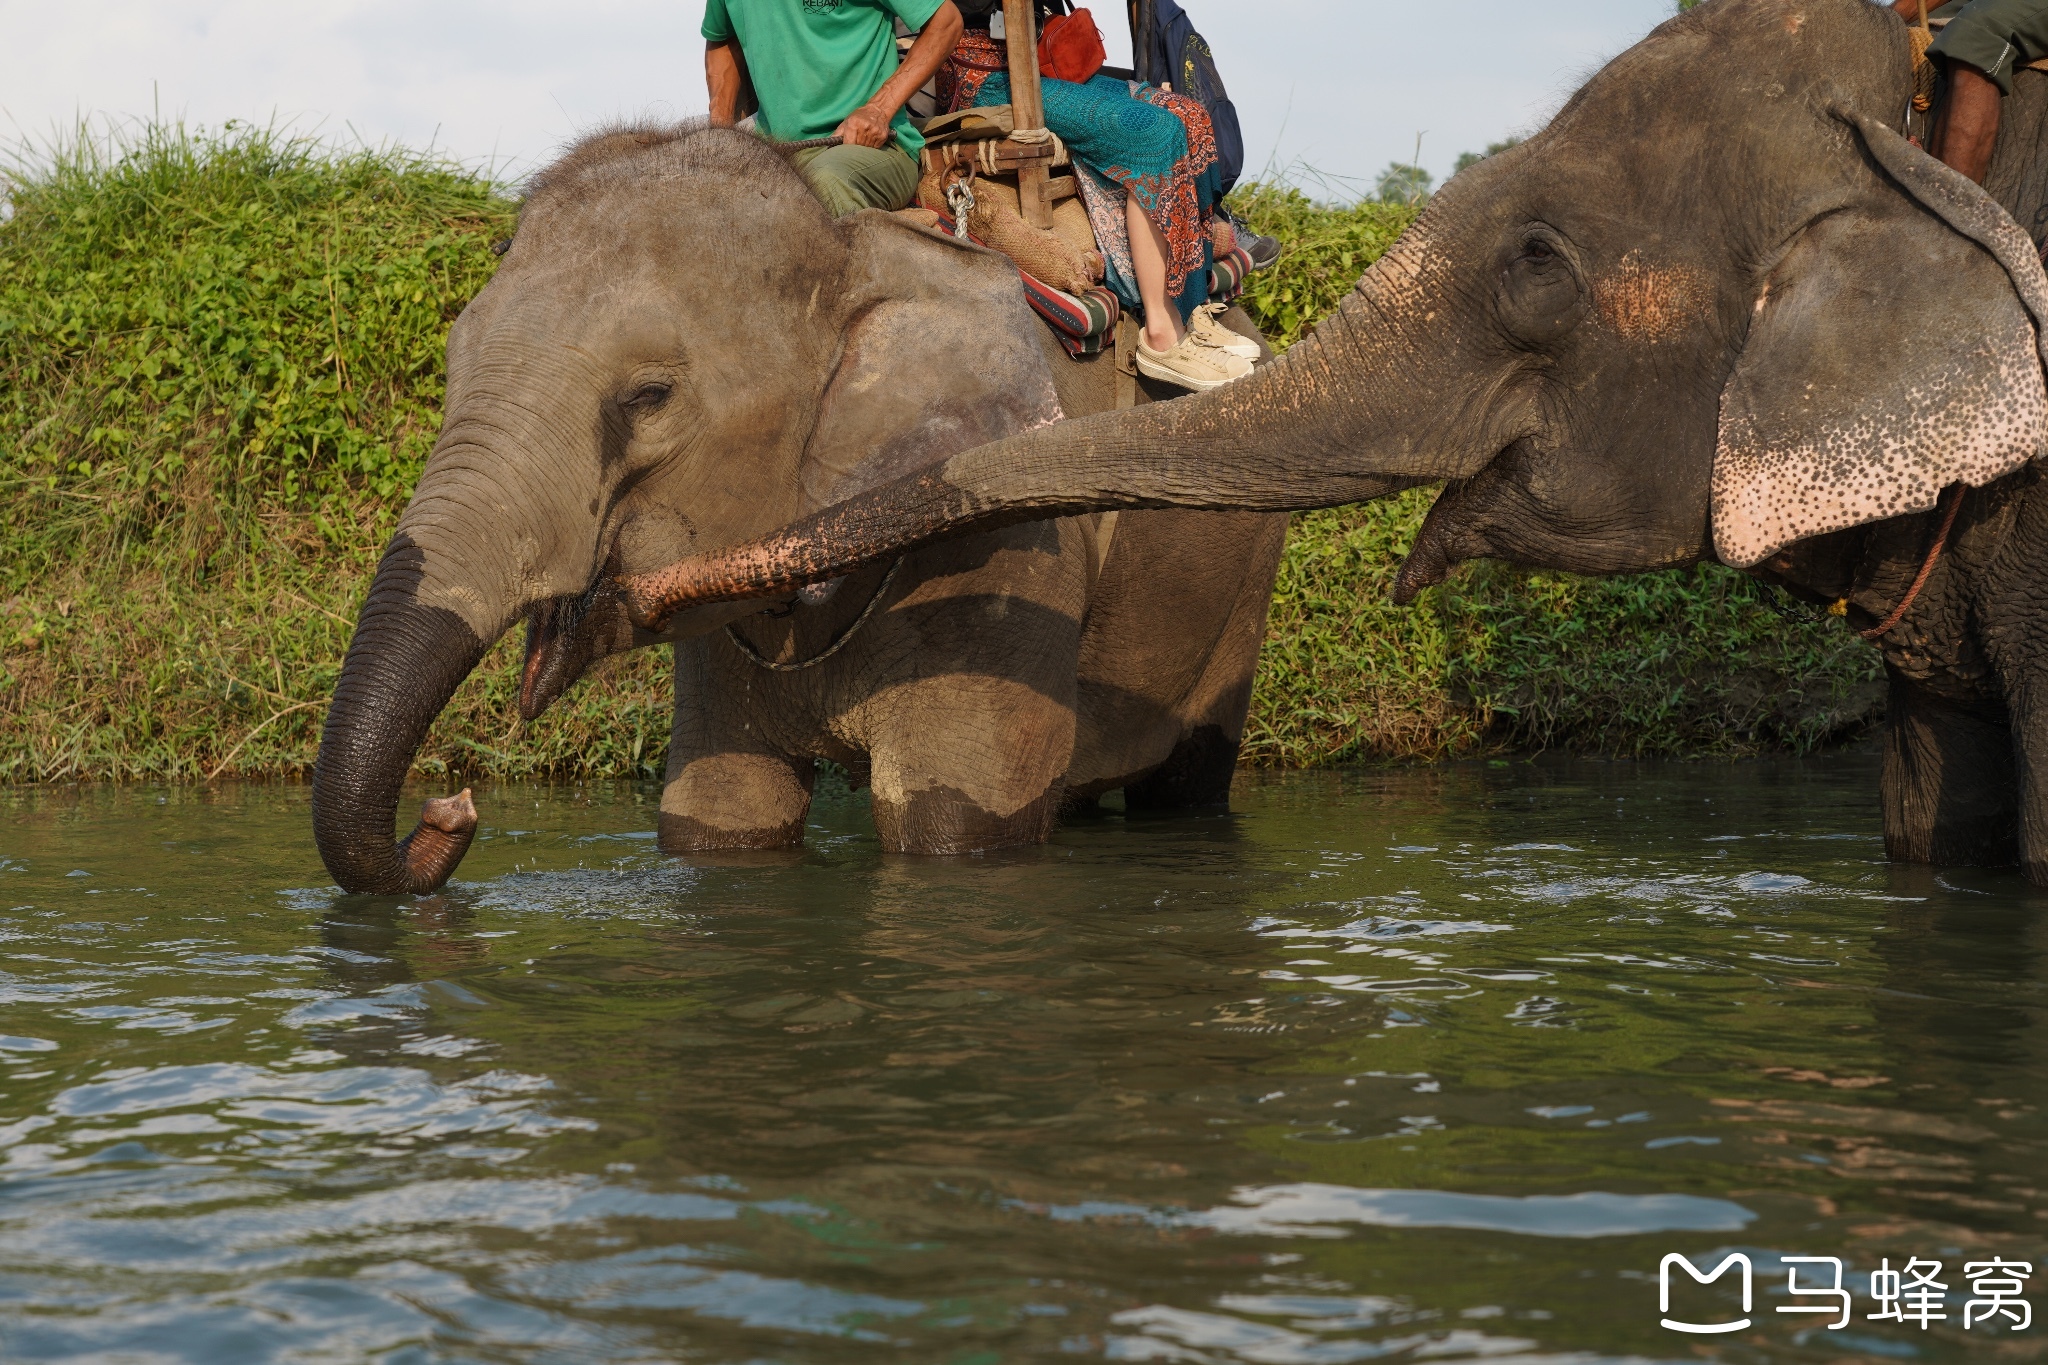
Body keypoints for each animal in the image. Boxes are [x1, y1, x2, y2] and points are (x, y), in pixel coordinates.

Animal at [311, 122, 1286, 896]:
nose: (451, 808)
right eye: (452, 360)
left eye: (649, 398)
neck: (850, 246)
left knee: (1190, 776)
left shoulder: (1012, 537)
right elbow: (719, 812)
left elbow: (956, 818)